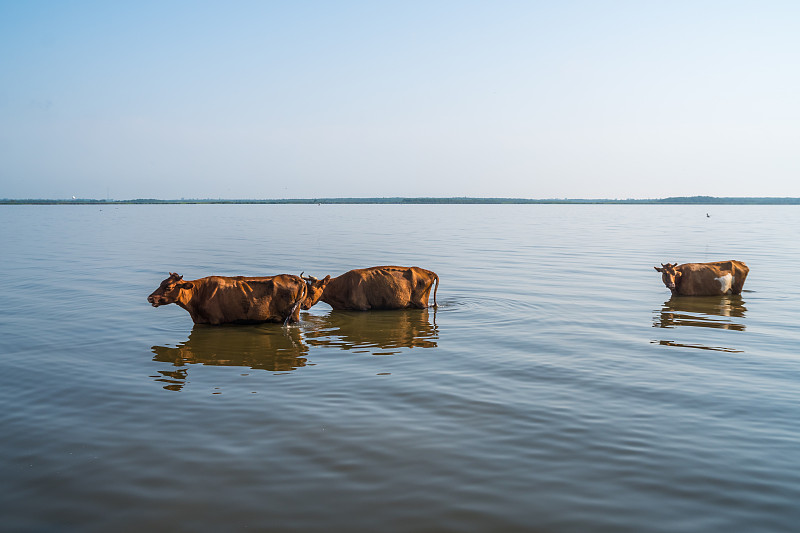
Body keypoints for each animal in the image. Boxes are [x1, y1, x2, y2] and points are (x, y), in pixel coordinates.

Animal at [145, 274, 308, 324]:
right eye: (161, 283)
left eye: (168, 287)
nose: (150, 298)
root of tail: (297, 278)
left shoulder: (215, 320)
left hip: (292, 316)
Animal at [300, 266, 438, 312]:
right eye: (305, 290)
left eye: (312, 291)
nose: (302, 305)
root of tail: (428, 272)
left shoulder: (363, 307)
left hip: (421, 303)